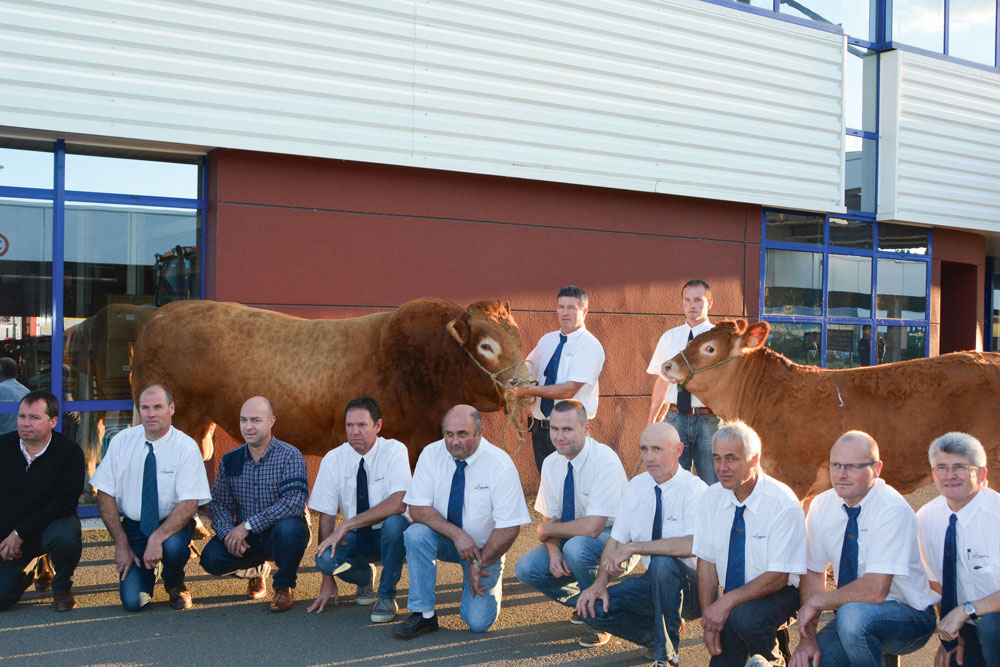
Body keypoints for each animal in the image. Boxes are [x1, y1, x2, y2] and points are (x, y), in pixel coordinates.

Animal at [131, 298, 532, 464]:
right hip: (181, 417)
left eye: (519, 337)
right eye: (486, 345)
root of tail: (160, 315)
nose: (527, 389)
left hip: (203, 425)